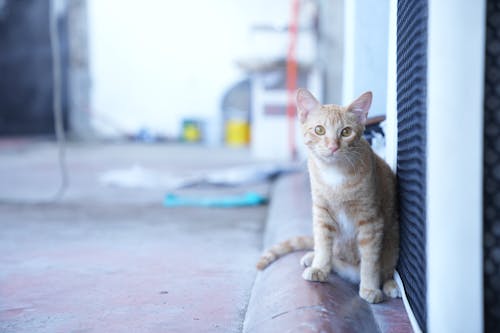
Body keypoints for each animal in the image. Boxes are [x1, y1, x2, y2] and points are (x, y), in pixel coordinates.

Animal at [256, 89, 400, 304]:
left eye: (346, 132)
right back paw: (312, 258)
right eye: (319, 130)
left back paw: (391, 285)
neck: (335, 174)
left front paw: (370, 287)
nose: (333, 146)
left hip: (393, 241)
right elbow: (323, 244)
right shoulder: (322, 213)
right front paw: (319, 267)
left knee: (388, 270)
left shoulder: (371, 220)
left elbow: (370, 260)